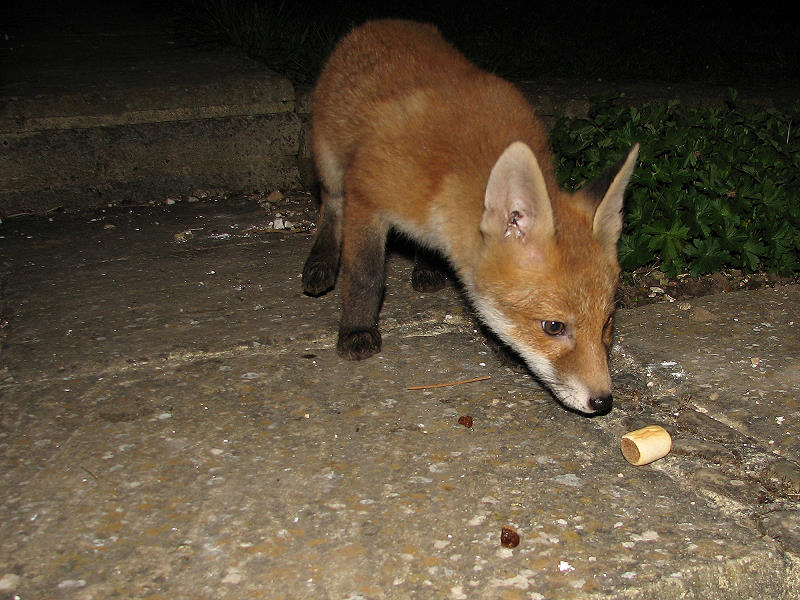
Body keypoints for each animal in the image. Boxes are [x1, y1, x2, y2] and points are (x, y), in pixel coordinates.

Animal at [302, 19, 639, 415]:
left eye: (608, 322)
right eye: (553, 327)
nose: (603, 401)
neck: (445, 179)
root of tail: (385, 23)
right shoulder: (366, 194)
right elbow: (365, 276)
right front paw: (356, 329)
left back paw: (426, 268)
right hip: (329, 164)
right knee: (329, 207)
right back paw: (321, 261)